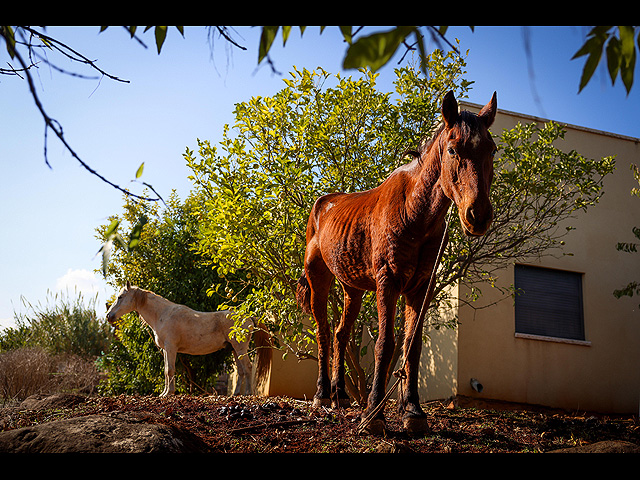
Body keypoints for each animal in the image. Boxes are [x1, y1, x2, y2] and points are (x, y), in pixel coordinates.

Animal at [105, 284, 270, 396]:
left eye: (120, 297)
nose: (108, 316)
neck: (163, 314)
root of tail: (248, 316)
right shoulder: (166, 350)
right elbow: (166, 370)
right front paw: (164, 393)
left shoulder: (171, 348)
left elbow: (170, 370)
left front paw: (169, 393)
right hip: (234, 350)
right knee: (241, 371)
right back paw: (235, 394)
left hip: (240, 348)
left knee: (248, 368)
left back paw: (248, 393)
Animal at [298, 90, 498, 436]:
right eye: (453, 149)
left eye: (492, 150)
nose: (478, 215)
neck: (414, 212)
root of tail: (322, 204)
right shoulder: (387, 281)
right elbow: (385, 344)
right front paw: (374, 414)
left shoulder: (420, 287)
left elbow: (412, 345)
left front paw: (413, 411)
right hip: (318, 278)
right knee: (323, 331)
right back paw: (323, 394)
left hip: (352, 288)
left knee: (340, 333)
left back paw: (340, 395)